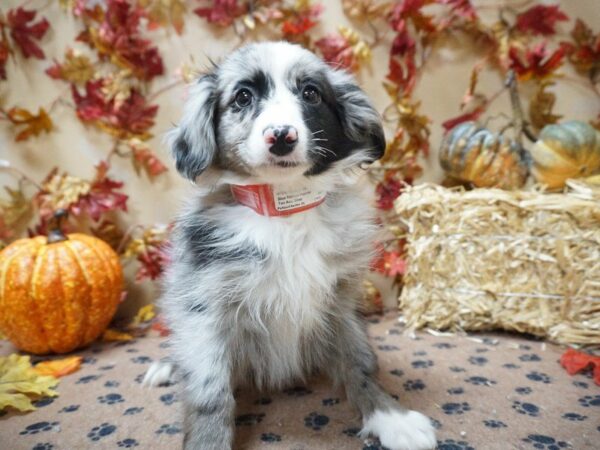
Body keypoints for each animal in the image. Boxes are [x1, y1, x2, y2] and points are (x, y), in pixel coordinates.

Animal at [145, 42, 436, 450]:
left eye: (311, 93)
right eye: (243, 97)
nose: (281, 136)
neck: (283, 211)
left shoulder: (338, 301)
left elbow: (360, 361)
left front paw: (390, 417)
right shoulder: (204, 309)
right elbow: (210, 391)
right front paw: (208, 441)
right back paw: (167, 366)